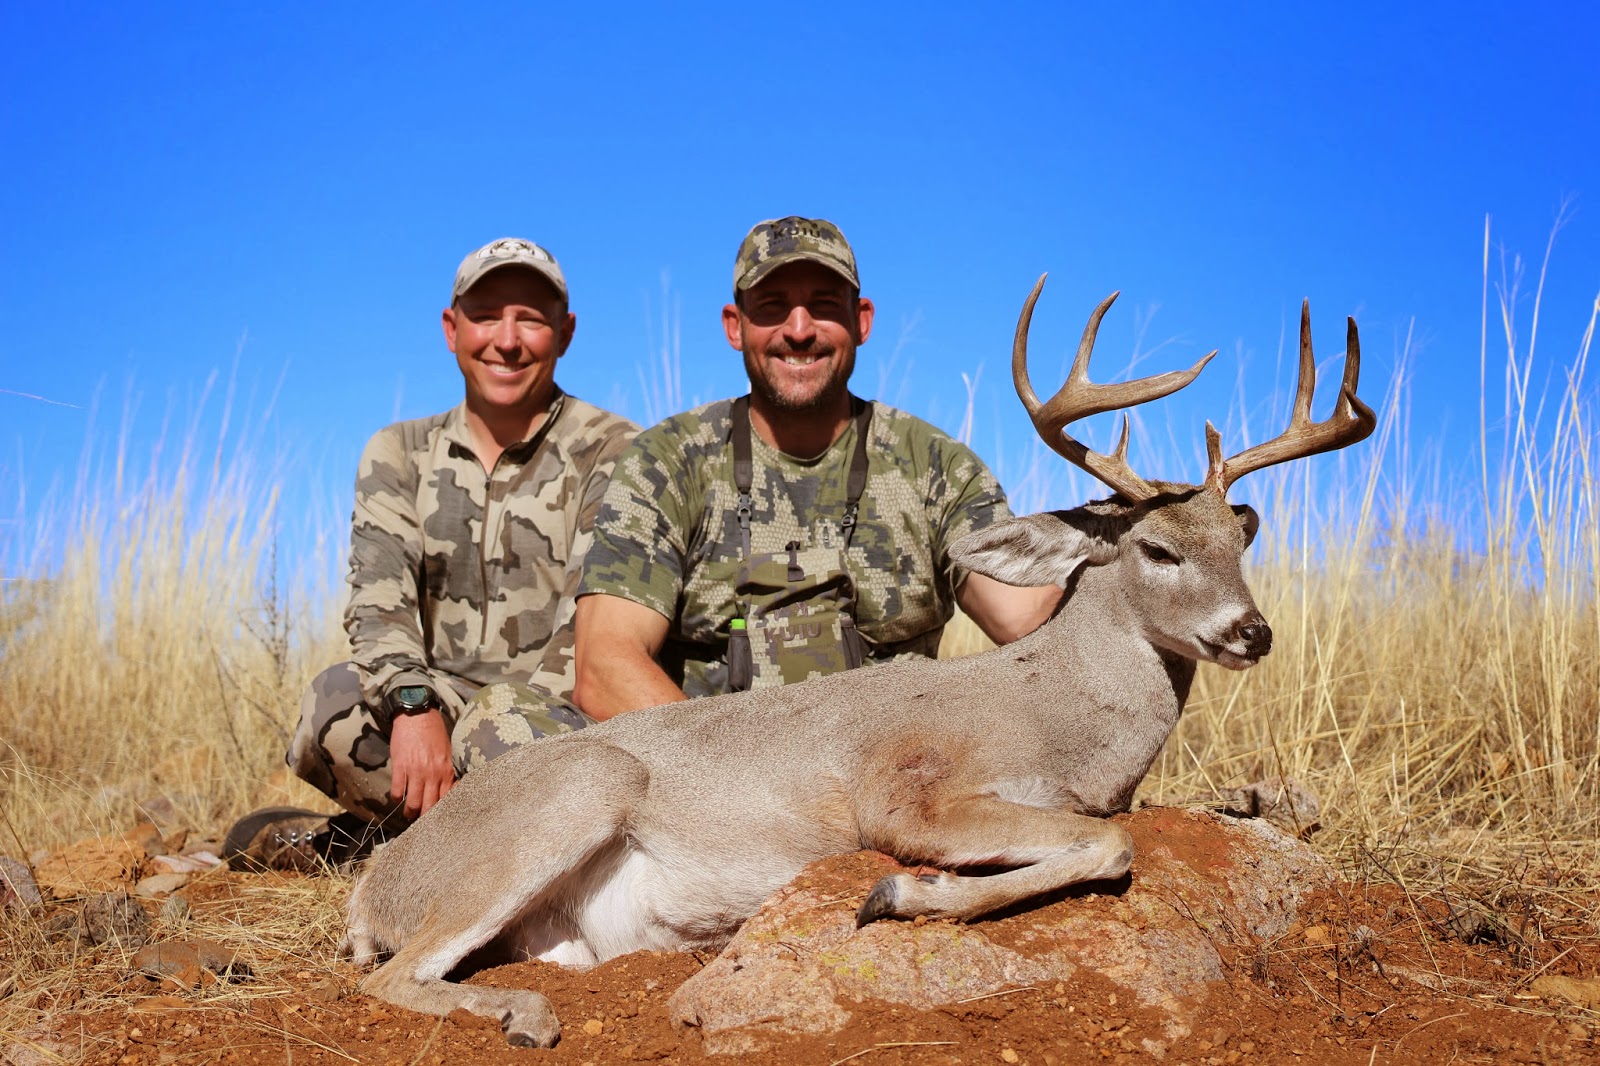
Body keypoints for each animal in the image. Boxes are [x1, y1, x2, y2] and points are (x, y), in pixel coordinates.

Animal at [341, 276, 1375, 1048]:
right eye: (1158, 549)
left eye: (1239, 541)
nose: (1252, 632)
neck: (1058, 715)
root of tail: (374, 885)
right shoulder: (905, 791)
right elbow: (1109, 845)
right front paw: (902, 892)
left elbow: (1110, 840)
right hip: (577, 791)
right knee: (393, 975)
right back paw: (522, 1015)